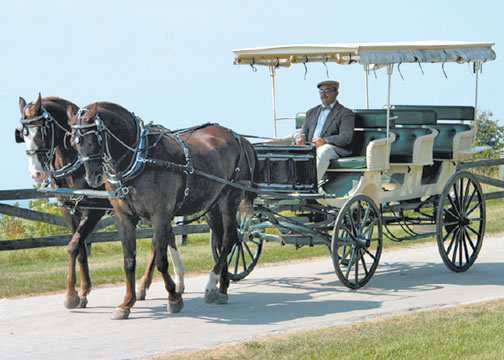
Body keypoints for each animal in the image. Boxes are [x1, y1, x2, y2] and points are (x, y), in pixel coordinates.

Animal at [14, 94, 176, 308]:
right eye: (22, 134)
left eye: (41, 131)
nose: (36, 173)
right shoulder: (69, 210)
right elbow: (80, 248)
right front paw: (82, 291)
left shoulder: (94, 210)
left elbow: (74, 245)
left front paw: (71, 295)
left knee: (156, 243)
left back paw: (146, 285)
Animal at [66, 102, 256, 320]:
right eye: (73, 142)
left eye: (94, 139)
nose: (93, 179)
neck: (140, 158)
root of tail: (239, 138)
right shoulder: (124, 217)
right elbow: (129, 260)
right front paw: (126, 303)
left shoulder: (161, 215)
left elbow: (161, 259)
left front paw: (173, 297)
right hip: (212, 205)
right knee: (219, 240)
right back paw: (222, 287)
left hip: (230, 198)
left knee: (229, 240)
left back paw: (210, 285)